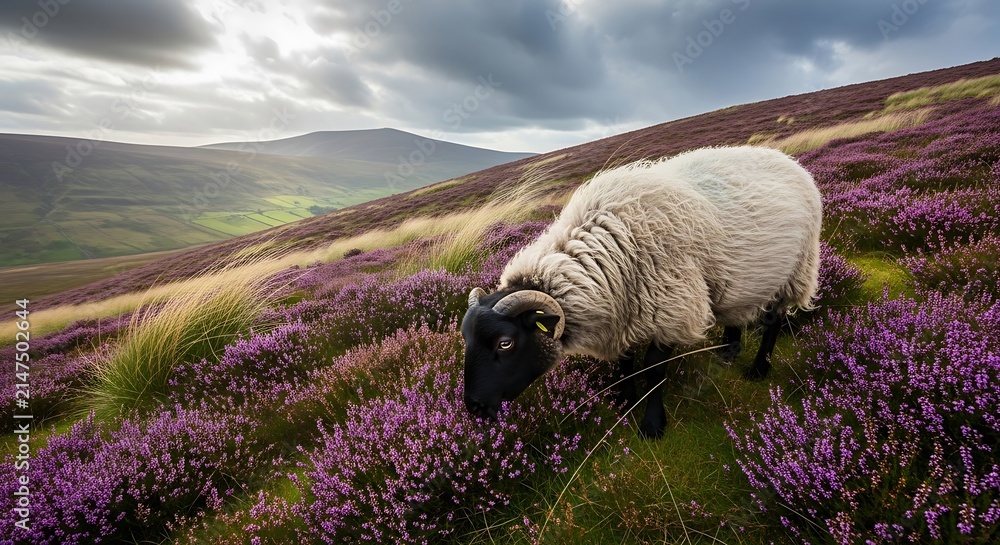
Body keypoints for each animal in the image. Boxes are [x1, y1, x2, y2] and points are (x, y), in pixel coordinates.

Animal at [462, 145, 822, 438]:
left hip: (796, 270)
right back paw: (729, 348)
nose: (474, 408)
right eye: (466, 339)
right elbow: (624, 363)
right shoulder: (623, 313)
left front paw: (652, 425)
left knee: (774, 321)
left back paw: (759, 369)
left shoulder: (672, 309)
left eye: (505, 343)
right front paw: (625, 403)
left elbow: (654, 369)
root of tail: (786, 159)